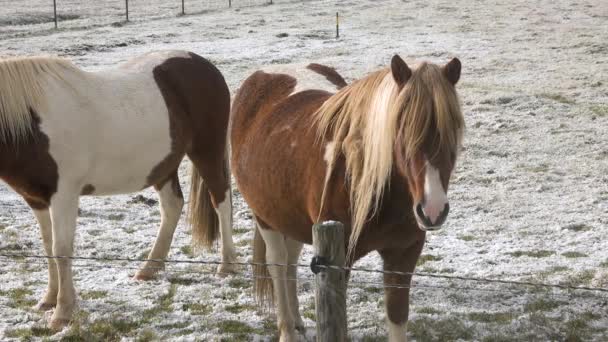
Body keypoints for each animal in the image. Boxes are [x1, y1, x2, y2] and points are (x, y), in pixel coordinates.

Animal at [0, 50, 236, 328]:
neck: (33, 124)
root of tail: (204, 65)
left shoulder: (64, 195)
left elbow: (61, 249)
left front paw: (63, 312)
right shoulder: (36, 198)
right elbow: (48, 247)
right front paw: (49, 300)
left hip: (207, 152)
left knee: (221, 201)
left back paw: (226, 265)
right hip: (163, 166)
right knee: (172, 207)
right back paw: (149, 269)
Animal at [230, 54, 464, 340]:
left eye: (453, 131)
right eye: (402, 129)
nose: (433, 210)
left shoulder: (403, 256)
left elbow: (397, 318)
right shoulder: (337, 263)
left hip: (292, 218)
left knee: (291, 262)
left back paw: (297, 322)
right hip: (265, 218)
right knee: (278, 264)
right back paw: (287, 329)